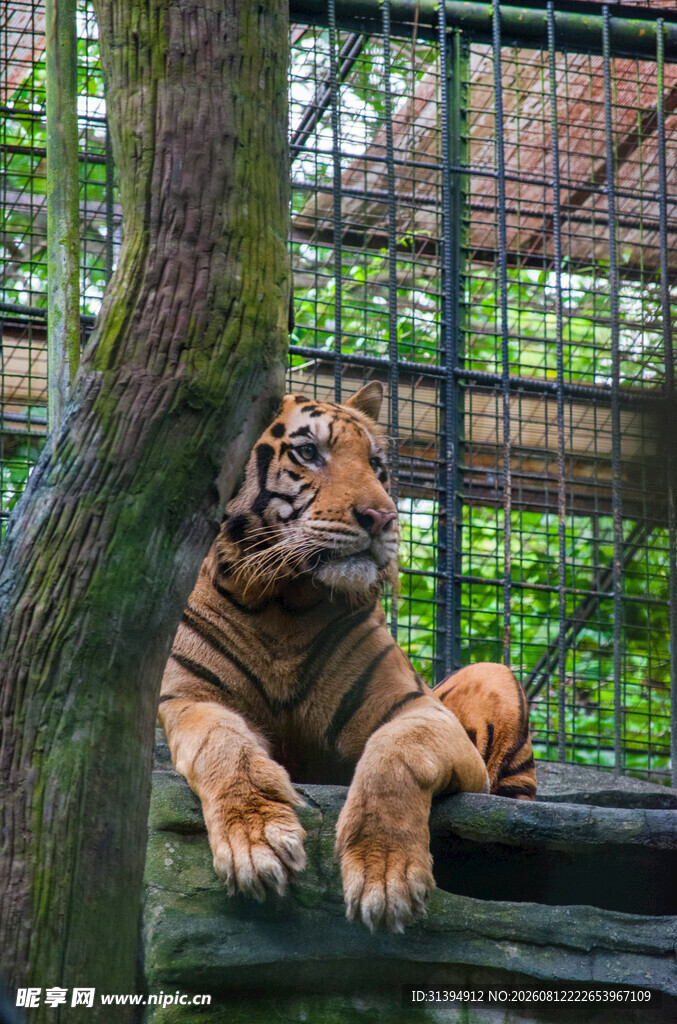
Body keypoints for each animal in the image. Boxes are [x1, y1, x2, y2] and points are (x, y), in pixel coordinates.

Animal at [158, 382, 536, 933]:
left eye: (376, 465)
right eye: (308, 452)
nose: (383, 518)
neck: (281, 602)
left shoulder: (420, 712)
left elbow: (394, 756)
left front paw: (385, 875)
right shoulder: (190, 700)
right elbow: (224, 745)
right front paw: (257, 842)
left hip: (494, 680)